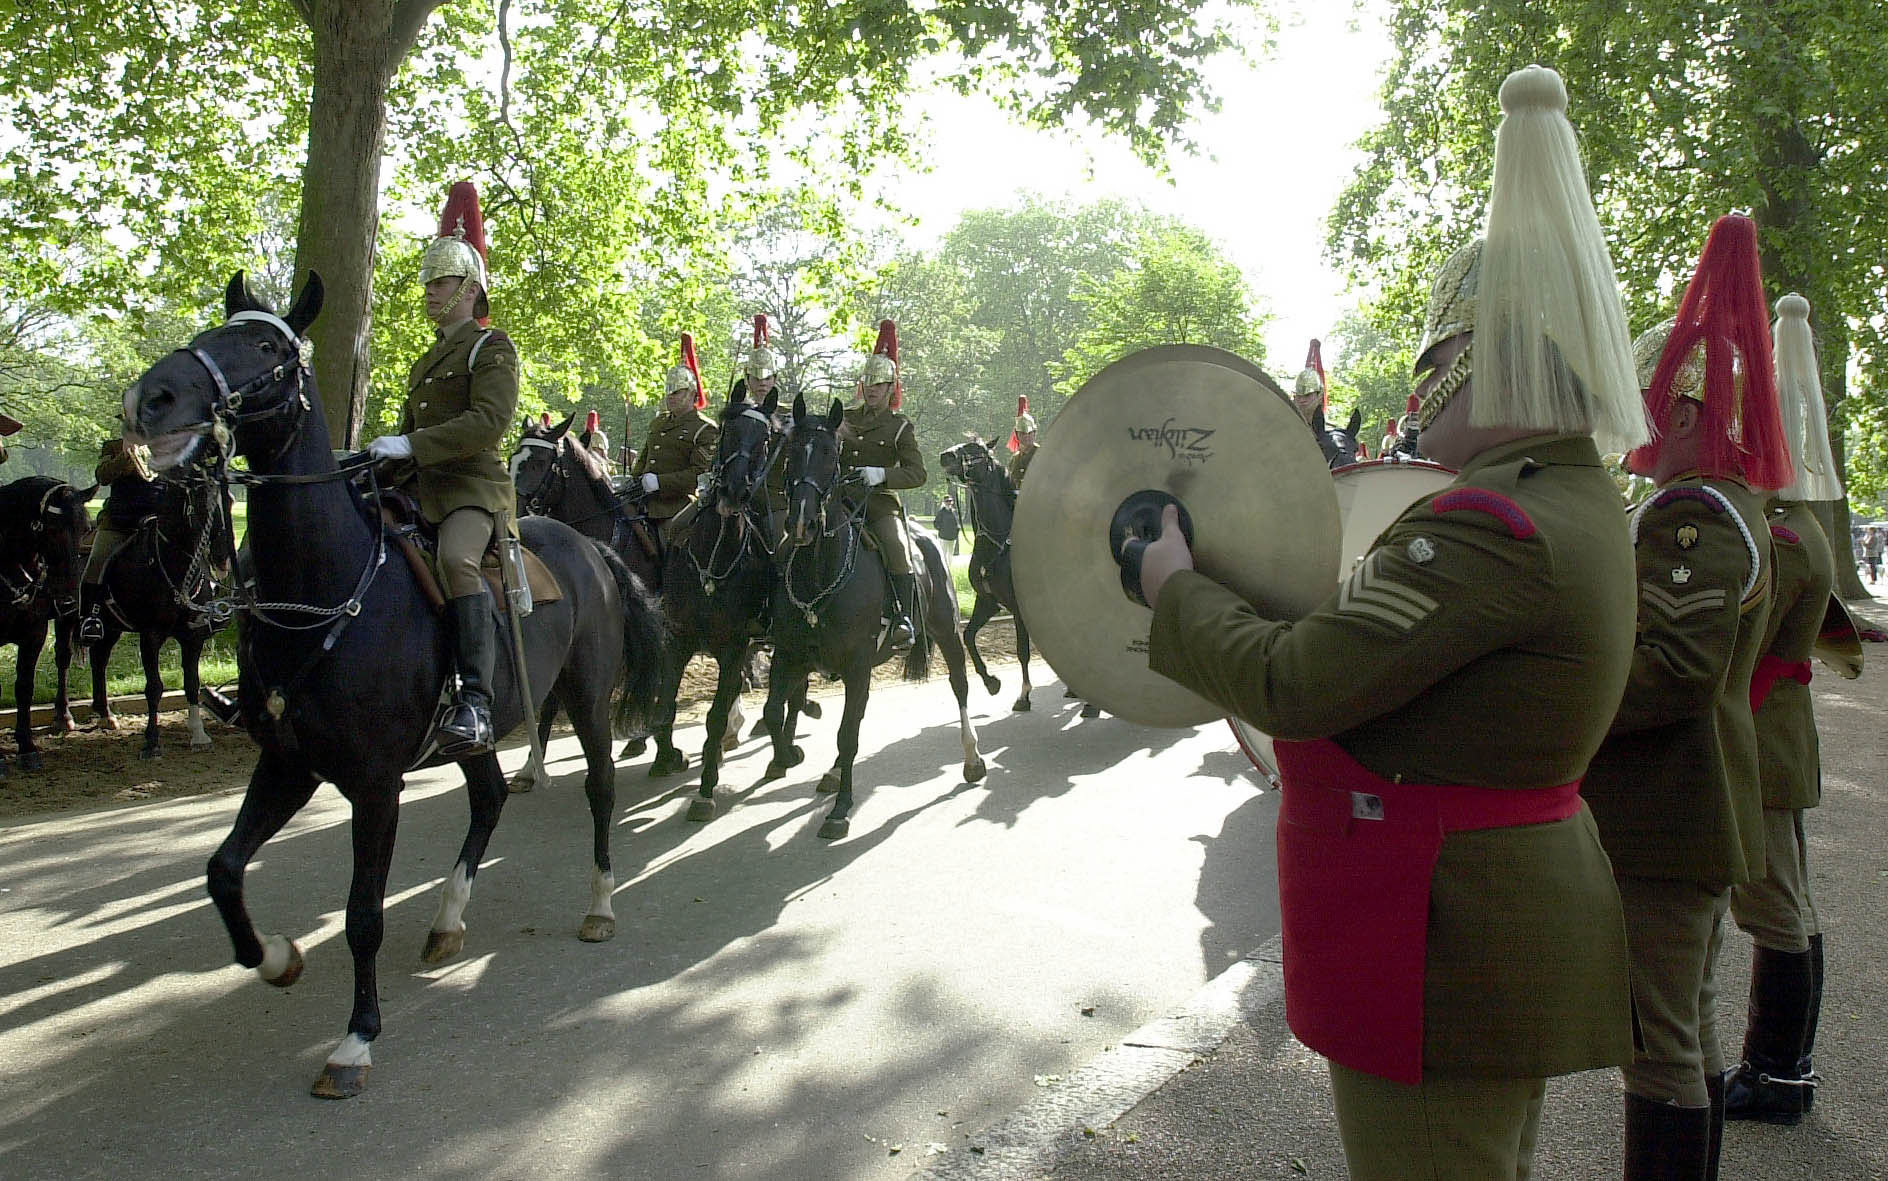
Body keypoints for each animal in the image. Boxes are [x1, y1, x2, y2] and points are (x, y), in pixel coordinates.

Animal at [0, 473, 94, 777]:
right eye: (49, 529)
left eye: (85, 528)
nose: (69, 599)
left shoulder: (34, 634)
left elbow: (24, 687)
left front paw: (27, 747)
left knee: (63, 658)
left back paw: (63, 715)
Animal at [79, 454, 232, 758]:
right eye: (200, 501)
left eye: (230, 499)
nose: (222, 557)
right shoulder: (150, 636)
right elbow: (154, 687)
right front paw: (151, 740)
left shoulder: (193, 637)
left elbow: (192, 684)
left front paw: (198, 733)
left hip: (112, 626)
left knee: (100, 659)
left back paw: (105, 714)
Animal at [125, 273, 664, 1094]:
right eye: (210, 331)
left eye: (265, 345)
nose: (150, 398)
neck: (327, 588)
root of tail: (589, 547)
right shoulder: (288, 763)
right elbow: (222, 870)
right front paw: (275, 958)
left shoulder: (377, 785)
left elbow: (362, 914)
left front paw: (355, 1039)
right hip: (482, 722)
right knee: (489, 796)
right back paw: (448, 918)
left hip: (586, 696)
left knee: (599, 788)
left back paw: (600, 904)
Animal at [758, 396, 989, 837]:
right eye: (791, 452)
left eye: (831, 454)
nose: (801, 523)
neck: (822, 570)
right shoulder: (790, 656)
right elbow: (774, 712)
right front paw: (787, 757)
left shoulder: (857, 663)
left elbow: (848, 735)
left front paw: (840, 809)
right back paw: (832, 772)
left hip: (948, 632)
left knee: (960, 686)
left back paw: (972, 758)